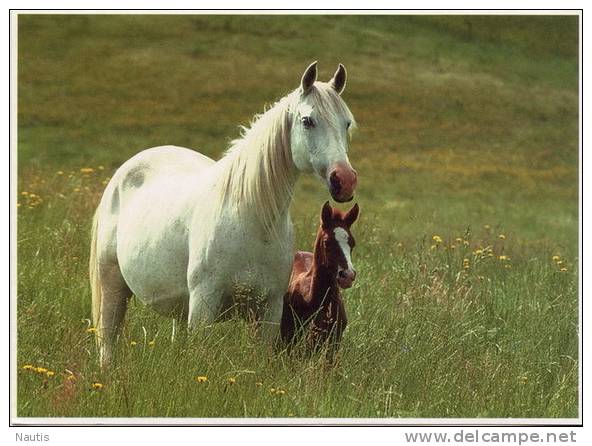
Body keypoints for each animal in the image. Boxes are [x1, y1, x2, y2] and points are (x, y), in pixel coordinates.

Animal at [87, 61, 356, 364]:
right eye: (308, 121)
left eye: (346, 123)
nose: (345, 180)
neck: (252, 221)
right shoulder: (203, 306)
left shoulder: (270, 310)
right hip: (112, 285)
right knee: (108, 341)